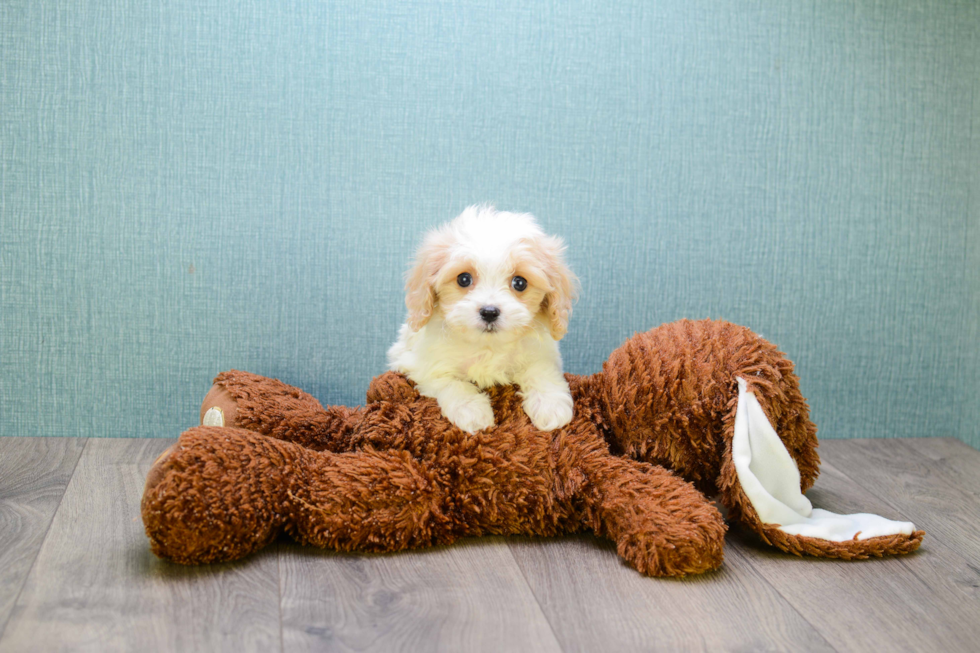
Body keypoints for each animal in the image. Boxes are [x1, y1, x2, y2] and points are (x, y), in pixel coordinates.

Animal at [386, 206, 580, 432]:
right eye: (463, 279)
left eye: (520, 283)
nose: (489, 312)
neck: (487, 345)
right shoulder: (418, 363)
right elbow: (449, 381)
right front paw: (473, 412)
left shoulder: (542, 354)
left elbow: (542, 372)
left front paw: (551, 406)